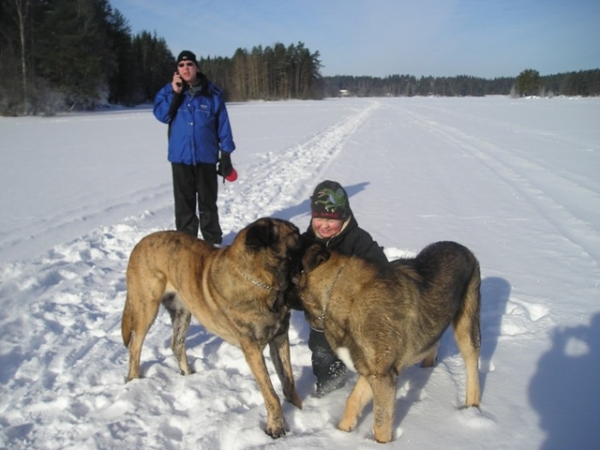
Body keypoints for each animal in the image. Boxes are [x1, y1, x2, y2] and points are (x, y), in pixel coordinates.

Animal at [121, 218, 302, 440]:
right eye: (295, 235)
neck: (261, 281)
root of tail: (138, 245)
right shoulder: (252, 349)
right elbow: (269, 391)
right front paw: (276, 426)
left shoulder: (280, 337)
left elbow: (288, 379)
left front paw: (300, 409)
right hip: (146, 306)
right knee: (135, 344)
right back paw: (134, 379)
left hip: (182, 310)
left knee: (176, 344)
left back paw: (188, 374)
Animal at [292, 243, 480, 442]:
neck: (337, 291)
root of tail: (462, 248)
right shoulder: (373, 372)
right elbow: (353, 400)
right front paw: (341, 434)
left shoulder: (383, 377)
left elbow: (381, 422)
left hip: (466, 325)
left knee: (472, 365)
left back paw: (471, 409)